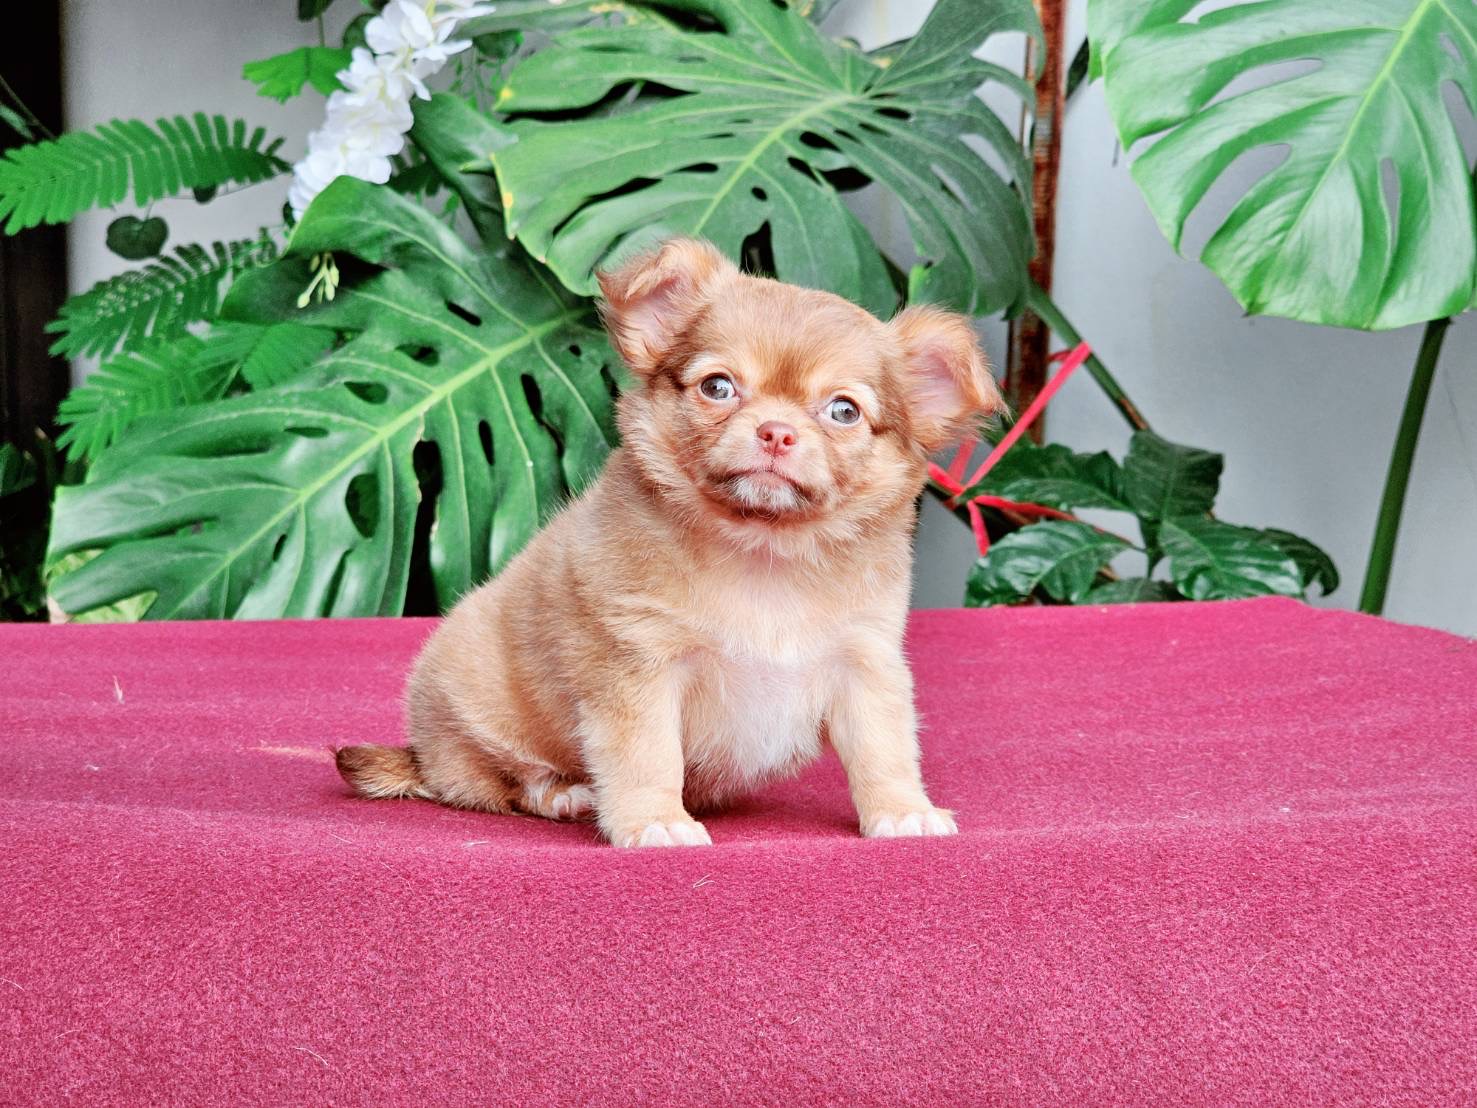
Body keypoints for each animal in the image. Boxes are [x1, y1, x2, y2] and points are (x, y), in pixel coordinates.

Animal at [336, 238, 1002, 846]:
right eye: (718, 387)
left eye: (843, 411)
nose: (777, 431)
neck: (764, 552)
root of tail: (422, 752)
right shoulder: (639, 668)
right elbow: (646, 756)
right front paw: (654, 821)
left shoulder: (865, 665)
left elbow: (884, 748)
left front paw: (902, 810)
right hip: (474, 718)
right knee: (503, 781)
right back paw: (564, 793)